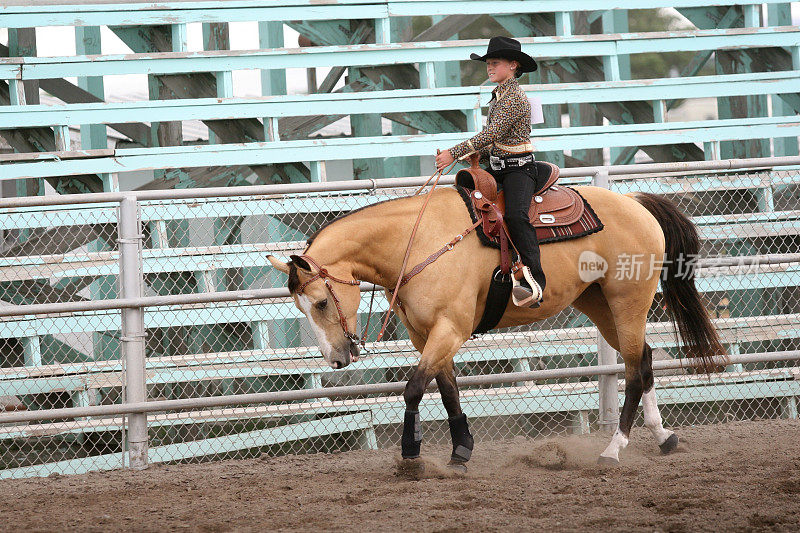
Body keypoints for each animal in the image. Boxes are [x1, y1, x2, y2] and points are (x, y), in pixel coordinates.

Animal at [268, 169, 724, 470]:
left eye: (320, 303)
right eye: (301, 308)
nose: (336, 360)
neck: (418, 243)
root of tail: (636, 204)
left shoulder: (450, 329)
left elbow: (414, 387)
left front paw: (412, 455)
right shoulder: (426, 335)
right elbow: (447, 390)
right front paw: (461, 449)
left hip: (629, 301)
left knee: (631, 371)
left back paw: (612, 450)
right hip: (601, 305)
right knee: (643, 361)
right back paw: (663, 437)